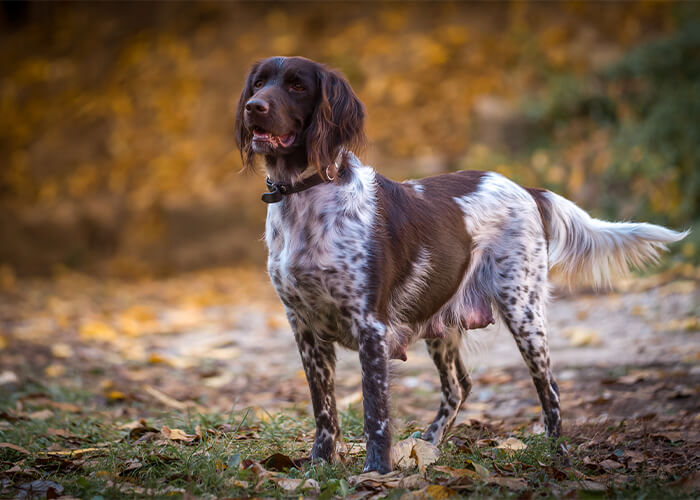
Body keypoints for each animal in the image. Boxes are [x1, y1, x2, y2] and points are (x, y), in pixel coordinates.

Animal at [235, 55, 688, 472]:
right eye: (258, 83)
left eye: (297, 86)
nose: (254, 107)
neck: (305, 197)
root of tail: (527, 188)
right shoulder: (304, 326)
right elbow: (324, 410)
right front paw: (319, 466)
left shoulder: (370, 325)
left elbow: (375, 412)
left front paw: (376, 473)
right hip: (440, 321)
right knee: (459, 387)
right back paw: (428, 446)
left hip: (523, 312)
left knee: (551, 389)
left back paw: (556, 454)